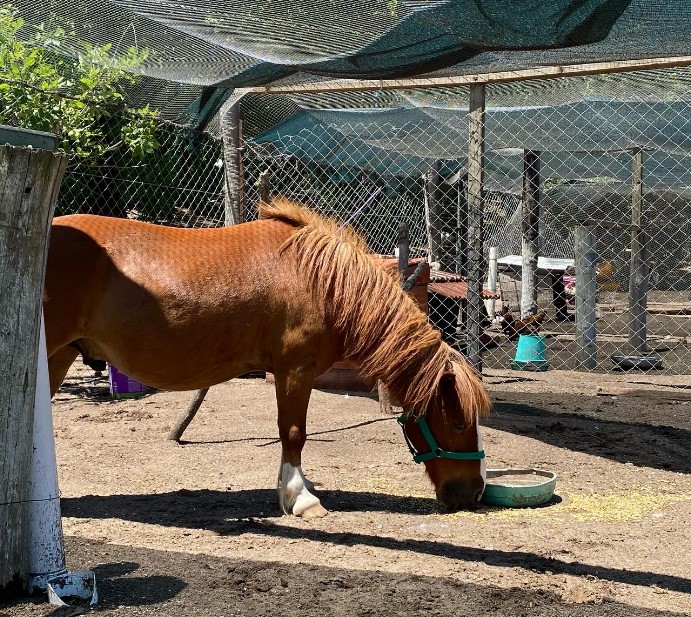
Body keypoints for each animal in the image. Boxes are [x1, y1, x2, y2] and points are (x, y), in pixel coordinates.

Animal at [44, 197, 492, 516]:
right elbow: (293, 432)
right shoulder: (295, 368)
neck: (320, 280)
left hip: (58, 357)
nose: (475, 493)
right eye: (457, 422)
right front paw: (301, 499)